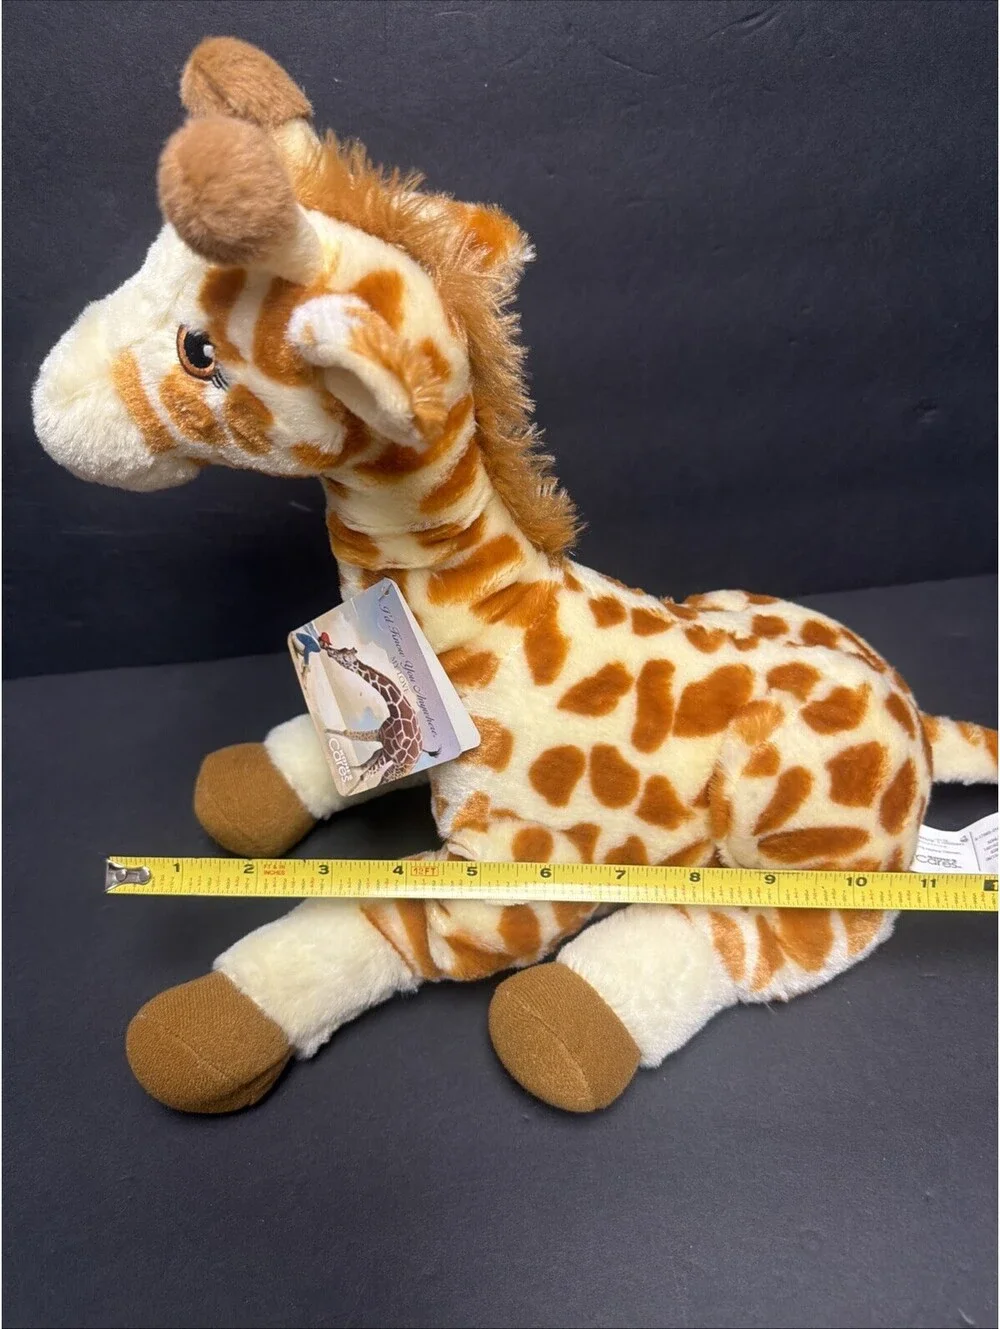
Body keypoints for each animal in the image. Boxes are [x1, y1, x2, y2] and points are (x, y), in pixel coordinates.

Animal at [322, 644, 439, 789]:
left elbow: (364, 776)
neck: (398, 712)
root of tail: (417, 757)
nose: (329, 650)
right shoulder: (380, 735)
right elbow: (348, 734)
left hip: (399, 768)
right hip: (387, 759)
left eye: (345, 658)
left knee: (381, 778)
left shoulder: (388, 753)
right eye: (343, 649)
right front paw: (325, 731)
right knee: (369, 768)